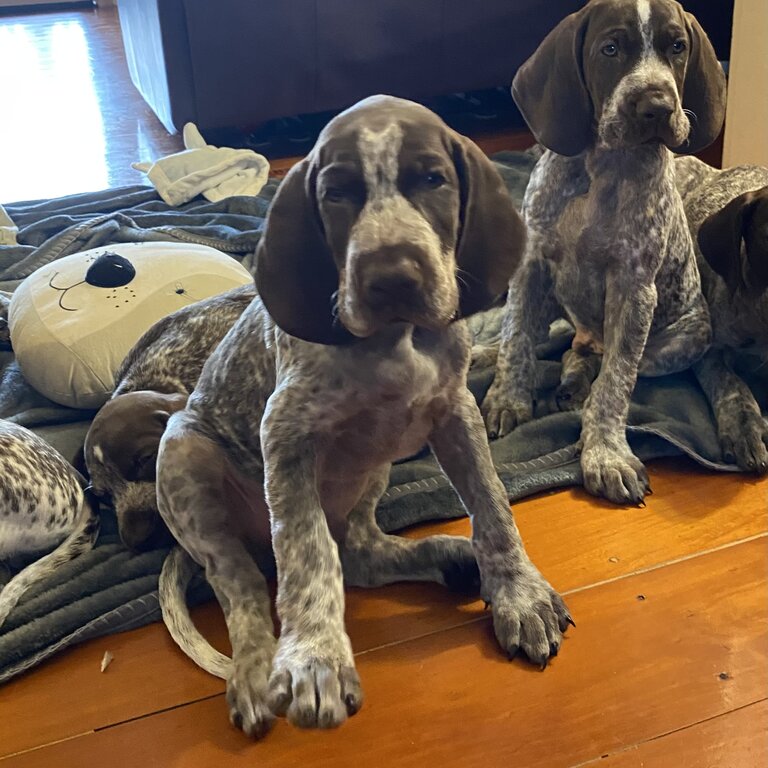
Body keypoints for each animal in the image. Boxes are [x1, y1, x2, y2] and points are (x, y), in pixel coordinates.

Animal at [158, 94, 576, 736]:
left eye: (432, 180)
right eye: (338, 193)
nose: (393, 279)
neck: (393, 341)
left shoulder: (455, 411)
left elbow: (493, 506)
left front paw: (518, 593)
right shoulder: (285, 435)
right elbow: (306, 553)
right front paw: (315, 658)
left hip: (372, 469)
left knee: (357, 550)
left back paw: (451, 557)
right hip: (183, 452)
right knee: (243, 580)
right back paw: (254, 673)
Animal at [480, 0, 728, 504]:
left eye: (677, 47)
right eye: (610, 49)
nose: (657, 107)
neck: (603, 165)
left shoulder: (634, 292)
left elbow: (615, 383)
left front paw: (606, 453)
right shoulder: (531, 269)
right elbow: (516, 341)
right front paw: (506, 398)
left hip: (683, 340)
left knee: (593, 360)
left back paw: (576, 382)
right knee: (544, 340)